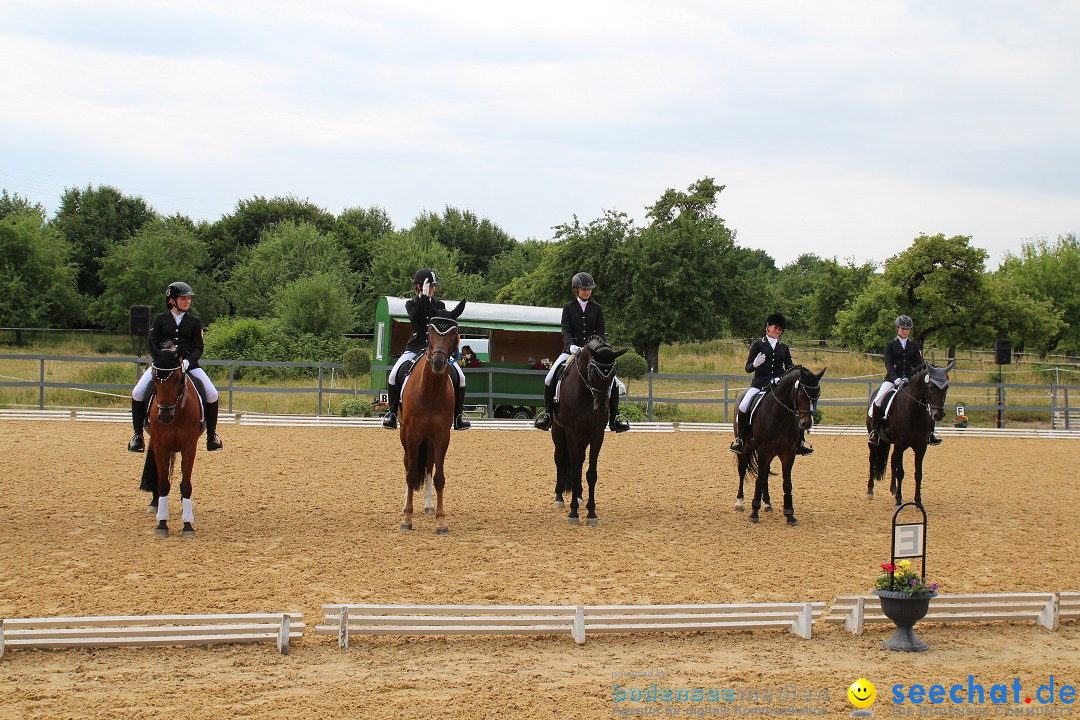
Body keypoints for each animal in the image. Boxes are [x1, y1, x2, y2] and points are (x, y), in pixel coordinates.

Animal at [138, 341, 203, 537]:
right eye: (154, 379)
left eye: (178, 378)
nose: (165, 416)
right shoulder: (161, 447)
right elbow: (163, 484)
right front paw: (162, 523)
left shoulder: (189, 447)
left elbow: (186, 484)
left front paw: (188, 524)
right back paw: (155, 503)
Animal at [401, 310, 460, 535]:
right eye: (430, 330)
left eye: (454, 332)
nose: (438, 363)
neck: (431, 391)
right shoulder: (412, 435)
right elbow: (411, 474)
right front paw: (407, 519)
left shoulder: (442, 436)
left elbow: (439, 478)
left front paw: (441, 521)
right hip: (405, 434)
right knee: (408, 464)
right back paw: (405, 505)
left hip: (429, 440)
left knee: (428, 464)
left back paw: (428, 505)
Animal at [552, 334, 630, 526]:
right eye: (593, 372)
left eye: (613, 374)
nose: (601, 408)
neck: (587, 395)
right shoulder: (572, 432)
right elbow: (573, 471)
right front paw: (573, 513)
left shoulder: (596, 434)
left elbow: (591, 473)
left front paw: (591, 513)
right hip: (558, 432)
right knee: (559, 459)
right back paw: (559, 498)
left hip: (584, 437)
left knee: (579, 461)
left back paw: (579, 497)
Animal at [734, 367, 825, 524]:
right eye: (802, 394)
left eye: (817, 395)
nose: (806, 423)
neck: (781, 415)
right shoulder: (763, 451)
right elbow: (758, 480)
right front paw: (754, 513)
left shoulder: (788, 453)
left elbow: (787, 483)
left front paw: (789, 514)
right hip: (745, 449)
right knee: (742, 470)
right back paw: (739, 502)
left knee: (765, 474)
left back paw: (767, 504)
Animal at [868, 360, 954, 507]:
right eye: (931, 387)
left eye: (946, 387)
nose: (938, 415)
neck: (914, 412)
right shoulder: (900, 445)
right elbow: (901, 473)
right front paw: (899, 501)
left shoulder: (920, 447)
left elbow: (918, 474)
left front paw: (918, 502)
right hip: (875, 439)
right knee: (873, 459)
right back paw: (870, 491)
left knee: (892, 460)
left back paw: (893, 489)